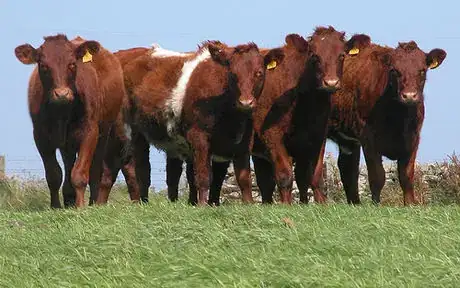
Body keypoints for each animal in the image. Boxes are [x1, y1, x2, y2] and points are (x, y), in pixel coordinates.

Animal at [14, 35, 126, 208]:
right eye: (44, 65)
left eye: (72, 64)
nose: (62, 94)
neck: (62, 111)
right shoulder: (40, 135)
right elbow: (53, 174)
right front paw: (55, 206)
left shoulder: (90, 132)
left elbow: (79, 174)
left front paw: (80, 206)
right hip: (67, 143)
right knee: (68, 165)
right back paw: (68, 200)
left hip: (103, 133)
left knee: (95, 170)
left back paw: (93, 202)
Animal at [120, 41, 282, 207]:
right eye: (232, 74)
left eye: (259, 73)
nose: (246, 102)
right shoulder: (199, 137)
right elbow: (204, 176)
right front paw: (203, 205)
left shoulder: (244, 142)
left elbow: (243, 178)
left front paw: (248, 203)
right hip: (135, 132)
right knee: (140, 169)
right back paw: (142, 202)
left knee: (171, 173)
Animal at [248, 25, 370, 204]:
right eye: (314, 56)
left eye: (341, 55)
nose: (331, 82)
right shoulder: (272, 136)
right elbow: (285, 176)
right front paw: (286, 205)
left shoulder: (318, 136)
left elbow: (313, 176)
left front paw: (319, 204)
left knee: (265, 182)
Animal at [310, 36, 446, 205]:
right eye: (394, 71)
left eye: (422, 70)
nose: (409, 96)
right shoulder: (368, 137)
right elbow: (377, 176)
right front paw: (376, 204)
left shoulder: (413, 139)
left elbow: (406, 176)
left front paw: (410, 204)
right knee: (316, 170)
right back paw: (322, 202)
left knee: (347, 170)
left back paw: (355, 203)